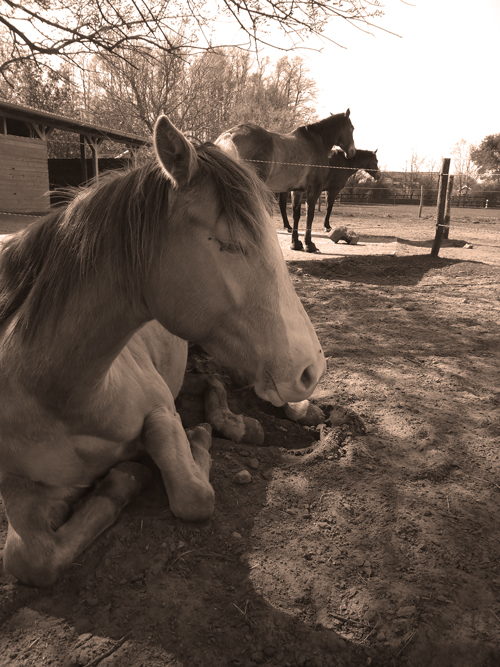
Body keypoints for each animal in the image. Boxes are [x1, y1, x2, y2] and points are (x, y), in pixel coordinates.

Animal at [0, 115, 326, 587]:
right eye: (228, 243)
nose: (312, 368)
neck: (62, 393)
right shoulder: (18, 483)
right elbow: (30, 560)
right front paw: (123, 479)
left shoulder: (159, 411)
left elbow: (193, 495)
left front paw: (153, 464)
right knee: (210, 381)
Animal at [215, 111, 355, 253]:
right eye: (352, 128)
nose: (351, 152)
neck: (316, 141)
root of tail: (228, 136)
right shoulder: (314, 188)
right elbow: (309, 215)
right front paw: (309, 244)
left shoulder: (297, 190)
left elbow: (296, 215)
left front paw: (295, 243)